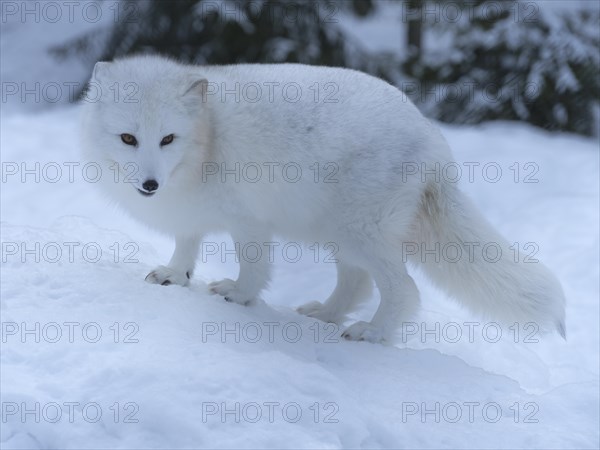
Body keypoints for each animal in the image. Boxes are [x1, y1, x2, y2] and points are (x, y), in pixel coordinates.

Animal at [81, 54, 568, 342]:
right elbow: (186, 248)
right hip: (338, 232)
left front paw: (238, 295)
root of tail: (433, 140)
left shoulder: (248, 220)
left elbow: (254, 267)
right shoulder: (190, 214)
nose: (150, 185)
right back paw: (326, 315)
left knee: (403, 289)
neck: (208, 138)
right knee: (356, 282)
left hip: (362, 232)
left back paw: (372, 333)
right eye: (128, 138)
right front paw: (174, 276)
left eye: (167, 139)